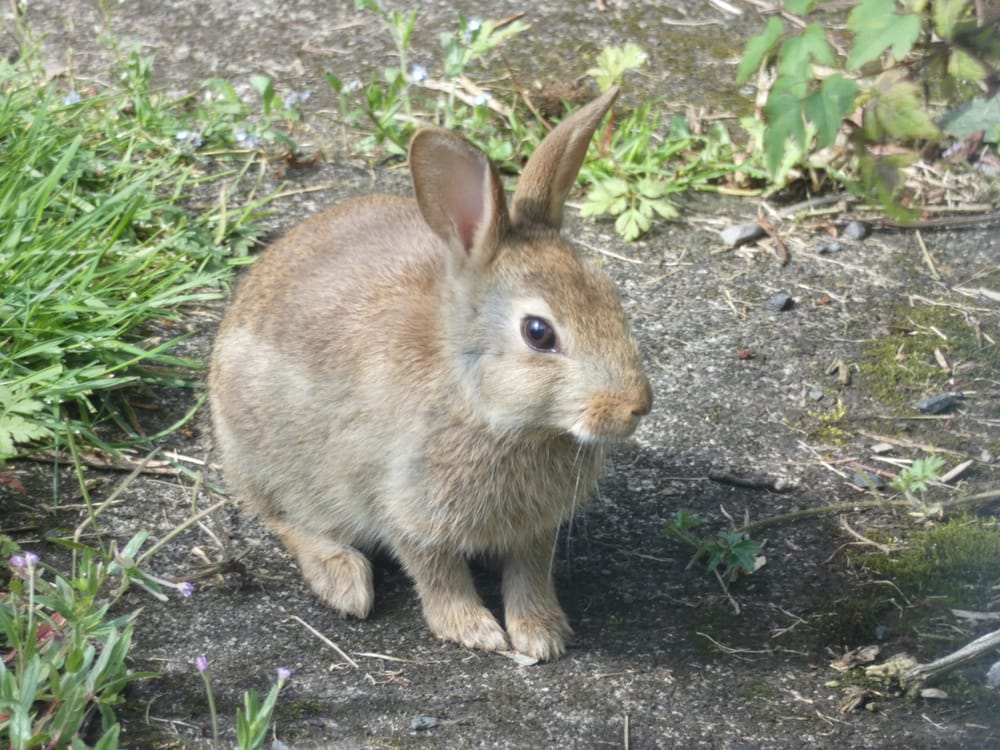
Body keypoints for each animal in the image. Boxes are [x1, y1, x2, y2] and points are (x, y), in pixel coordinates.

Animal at [207, 86, 652, 664]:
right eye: (538, 333)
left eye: (610, 295)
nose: (636, 405)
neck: (489, 411)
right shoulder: (403, 508)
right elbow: (436, 572)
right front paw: (474, 630)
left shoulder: (535, 530)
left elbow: (530, 573)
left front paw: (541, 633)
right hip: (263, 461)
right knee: (284, 518)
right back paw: (343, 580)